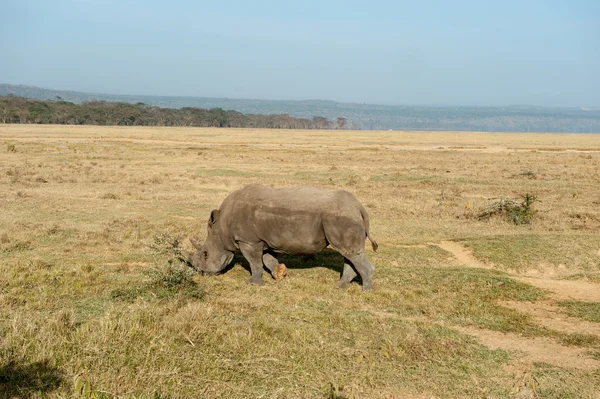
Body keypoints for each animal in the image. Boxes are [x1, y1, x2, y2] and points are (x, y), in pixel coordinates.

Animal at [183, 184, 378, 290]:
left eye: (205, 254)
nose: (202, 273)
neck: (222, 226)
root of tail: (359, 207)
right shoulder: (263, 240)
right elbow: (269, 260)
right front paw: (280, 274)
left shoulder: (248, 240)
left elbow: (255, 262)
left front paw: (254, 283)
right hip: (344, 216)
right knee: (349, 254)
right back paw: (341, 286)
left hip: (341, 218)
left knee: (349, 252)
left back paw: (366, 290)